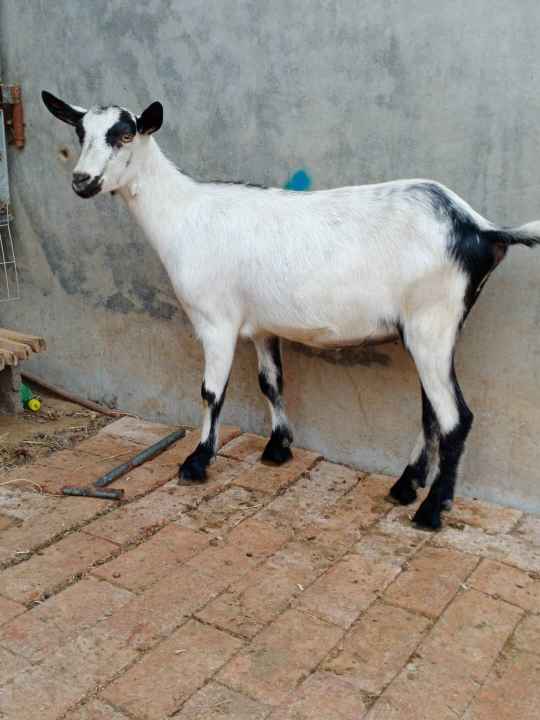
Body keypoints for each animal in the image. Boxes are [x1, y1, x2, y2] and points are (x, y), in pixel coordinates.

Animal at [42, 90, 540, 528]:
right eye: (80, 131)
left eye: (125, 135)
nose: (82, 181)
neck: (184, 212)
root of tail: (479, 227)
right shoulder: (262, 326)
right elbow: (271, 381)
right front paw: (278, 448)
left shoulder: (215, 320)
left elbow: (210, 392)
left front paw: (197, 462)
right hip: (431, 329)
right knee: (432, 410)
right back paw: (405, 486)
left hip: (431, 322)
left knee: (456, 417)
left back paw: (431, 510)